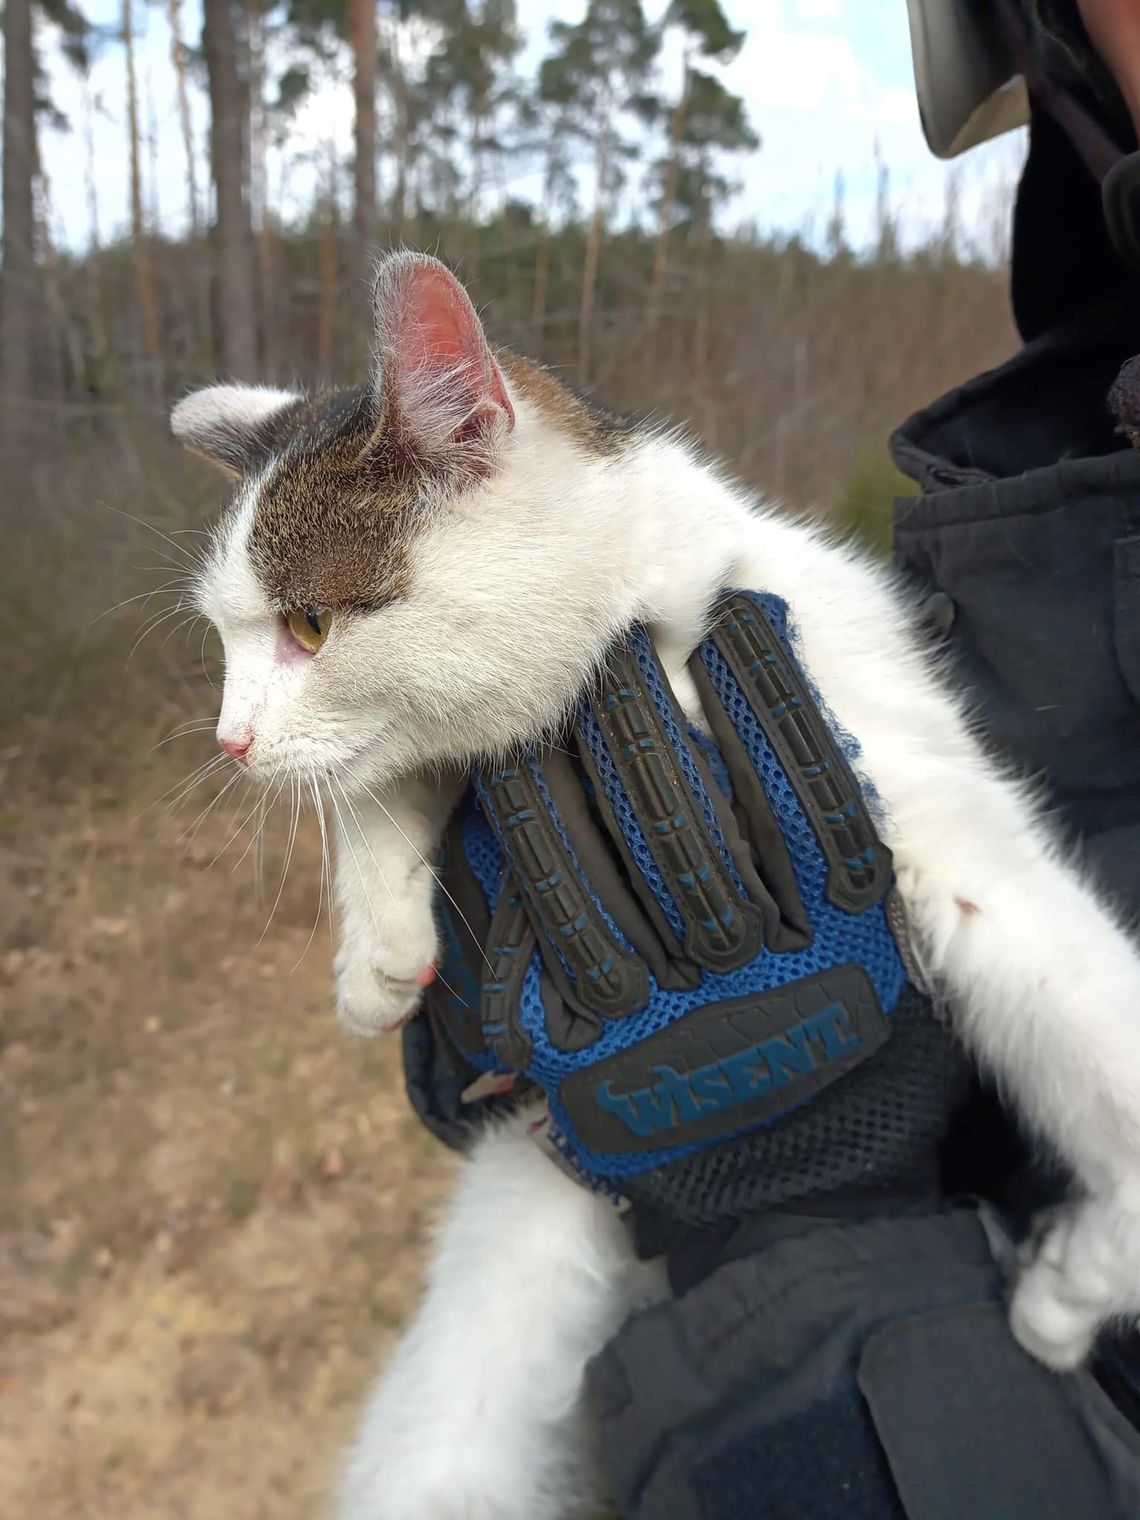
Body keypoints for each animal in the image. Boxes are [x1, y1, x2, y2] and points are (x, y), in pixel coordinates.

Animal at [171, 252, 1140, 1520]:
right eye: (231, 639)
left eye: (310, 622)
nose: (231, 741)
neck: (617, 642)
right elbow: (381, 778)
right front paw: (376, 947)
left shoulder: (927, 799)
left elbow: (1084, 1019)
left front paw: (1070, 1292)